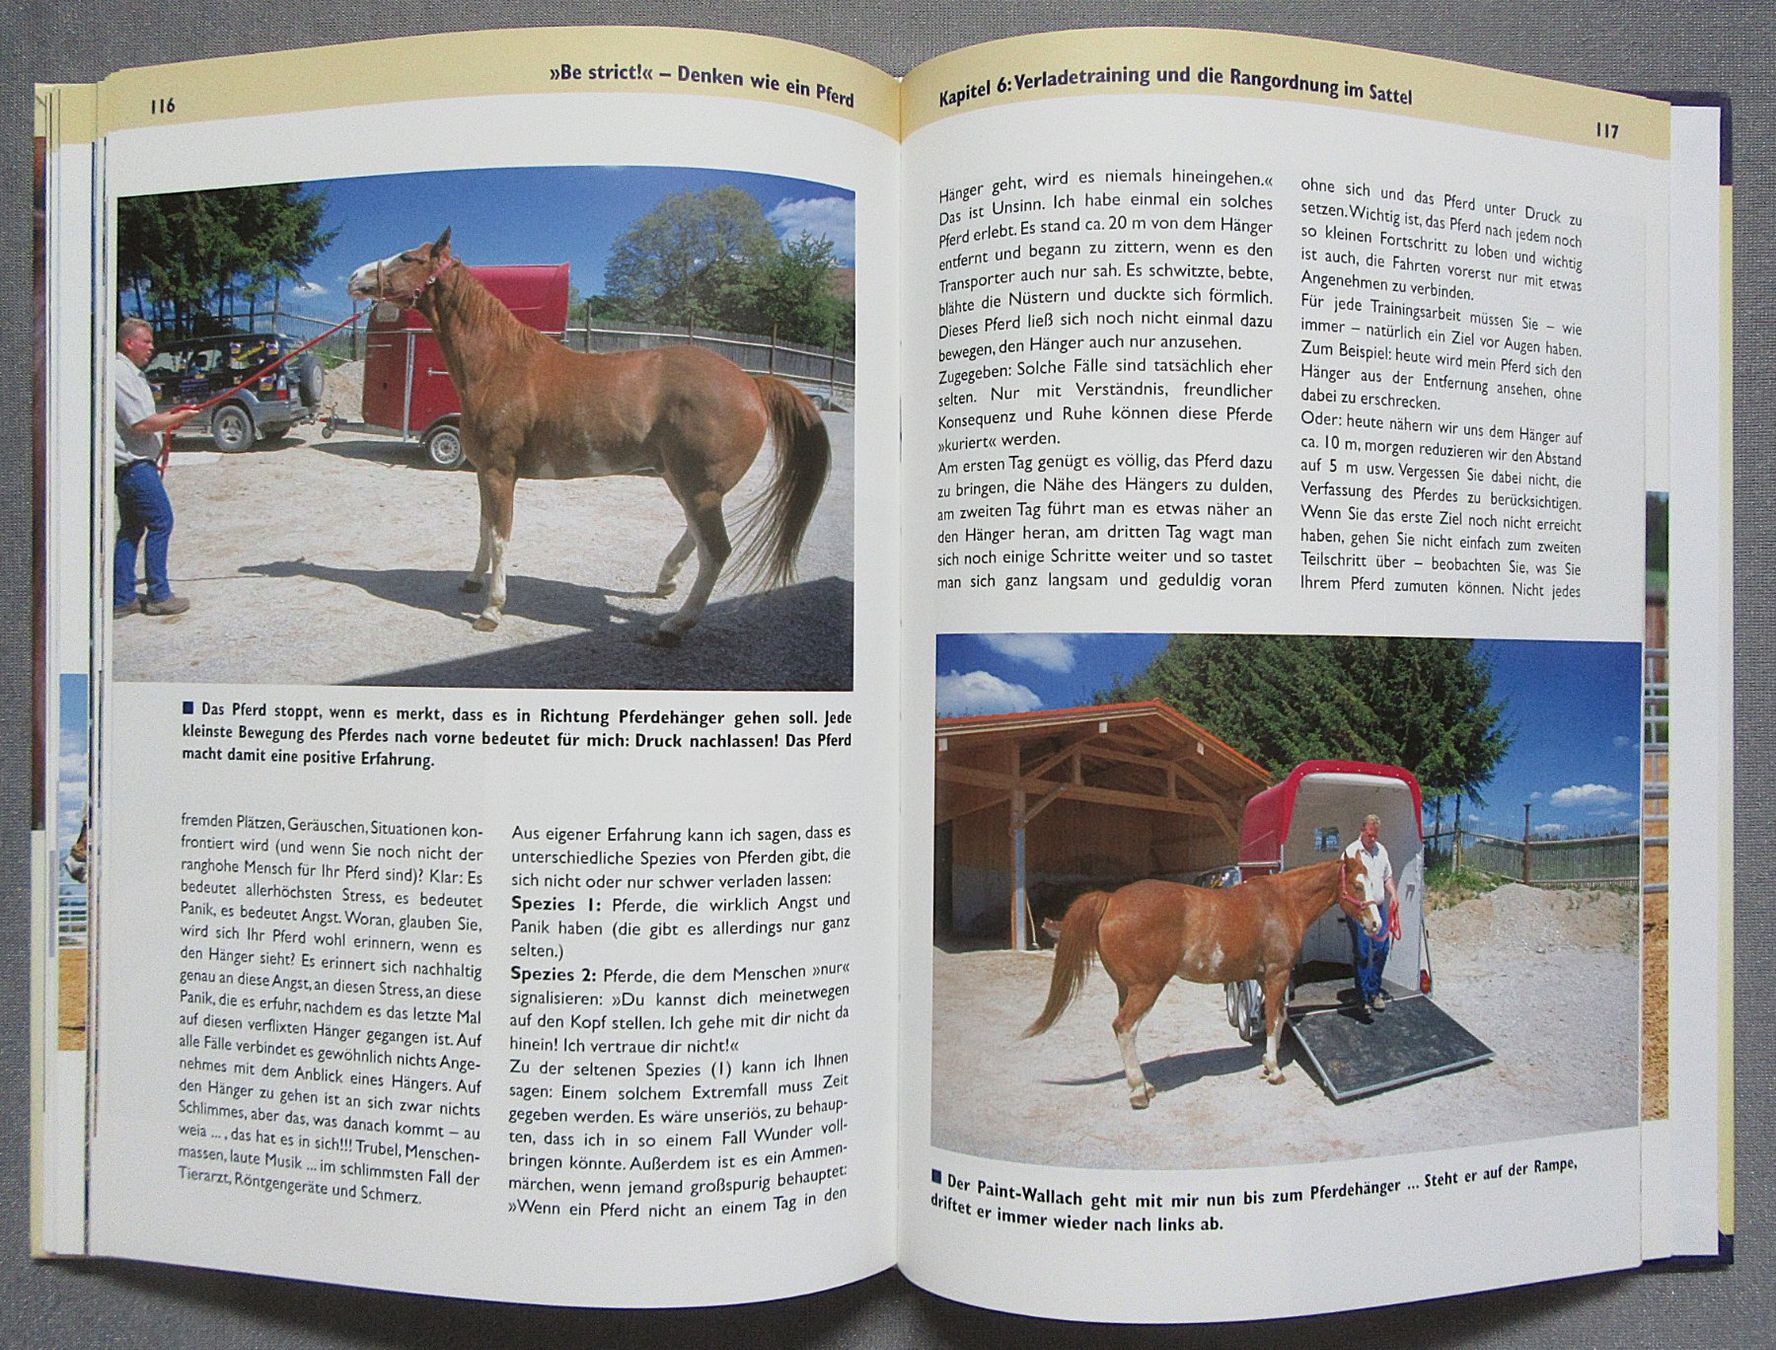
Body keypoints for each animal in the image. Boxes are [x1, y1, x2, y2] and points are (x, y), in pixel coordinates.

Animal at [346, 230, 830, 646]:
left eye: (409, 257)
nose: (354, 278)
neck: (501, 363)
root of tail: (752, 383)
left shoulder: (501, 472)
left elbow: (502, 536)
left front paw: (491, 611)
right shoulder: (484, 471)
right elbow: (485, 527)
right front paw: (471, 581)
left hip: (698, 487)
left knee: (716, 550)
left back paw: (672, 627)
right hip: (685, 481)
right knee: (697, 537)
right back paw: (665, 582)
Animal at [1023, 854, 1379, 1109]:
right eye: (1358, 885)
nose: (1376, 924)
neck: (1283, 902)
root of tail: (1111, 900)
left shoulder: (1266, 978)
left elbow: (1276, 1018)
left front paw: (1268, 1064)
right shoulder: (1277, 974)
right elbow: (1274, 1020)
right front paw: (1274, 1070)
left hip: (1126, 988)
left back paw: (1143, 1085)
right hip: (1146, 988)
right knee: (1125, 1027)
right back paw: (1139, 1092)